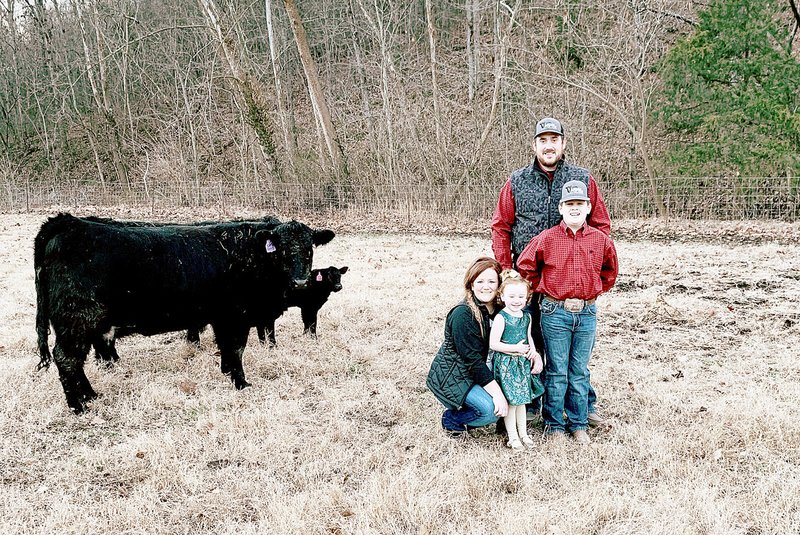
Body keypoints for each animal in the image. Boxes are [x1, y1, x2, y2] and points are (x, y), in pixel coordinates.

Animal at [33, 214, 334, 414]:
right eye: (281, 250)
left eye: (309, 249)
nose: (300, 282)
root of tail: (67, 222)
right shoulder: (236, 316)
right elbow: (236, 348)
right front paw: (241, 383)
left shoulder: (221, 317)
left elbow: (226, 348)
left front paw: (227, 373)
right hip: (77, 321)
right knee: (68, 360)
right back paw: (79, 405)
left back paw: (91, 396)